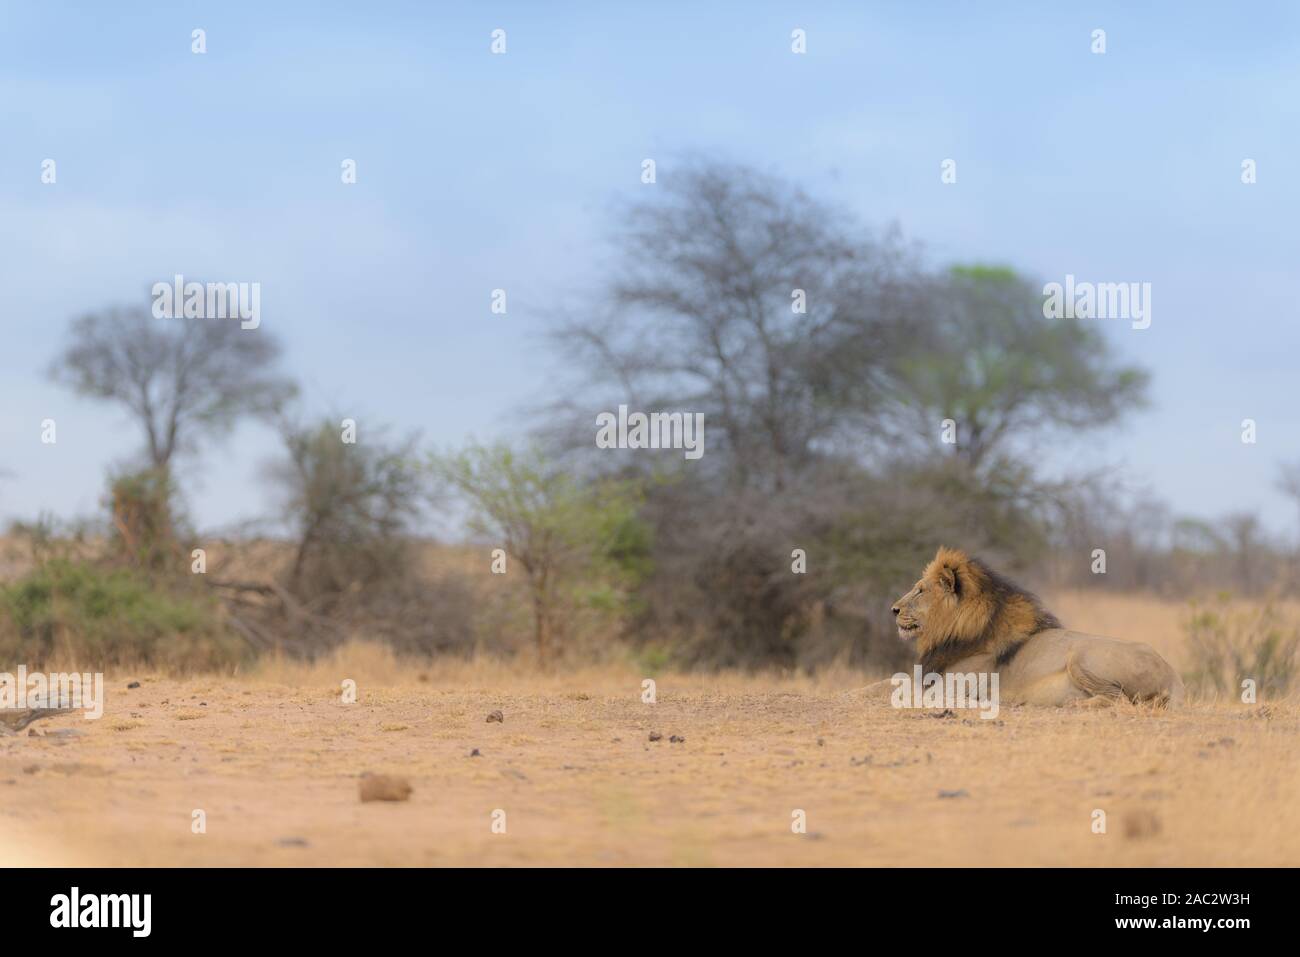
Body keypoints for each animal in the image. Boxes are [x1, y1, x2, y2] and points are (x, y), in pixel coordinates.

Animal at [883, 546, 1183, 708]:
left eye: (920, 590)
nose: (893, 609)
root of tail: (1173, 675)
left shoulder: (950, 687)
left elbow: (890, 686)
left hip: (1081, 656)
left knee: (1119, 699)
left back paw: (1071, 704)